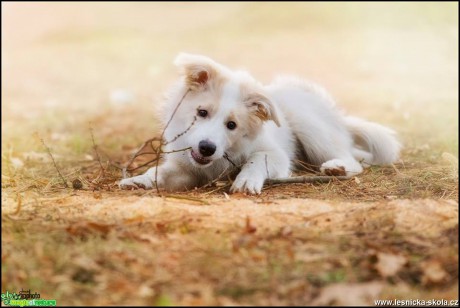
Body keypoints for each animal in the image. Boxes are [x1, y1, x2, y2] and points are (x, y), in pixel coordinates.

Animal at [120, 52, 400, 192]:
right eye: (202, 112)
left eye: (232, 125)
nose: (206, 148)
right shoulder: (185, 167)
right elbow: (159, 172)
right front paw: (140, 180)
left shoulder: (276, 155)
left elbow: (257, 160)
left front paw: (246, 181)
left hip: (309, 125)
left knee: (352, 160)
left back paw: (336, 168)